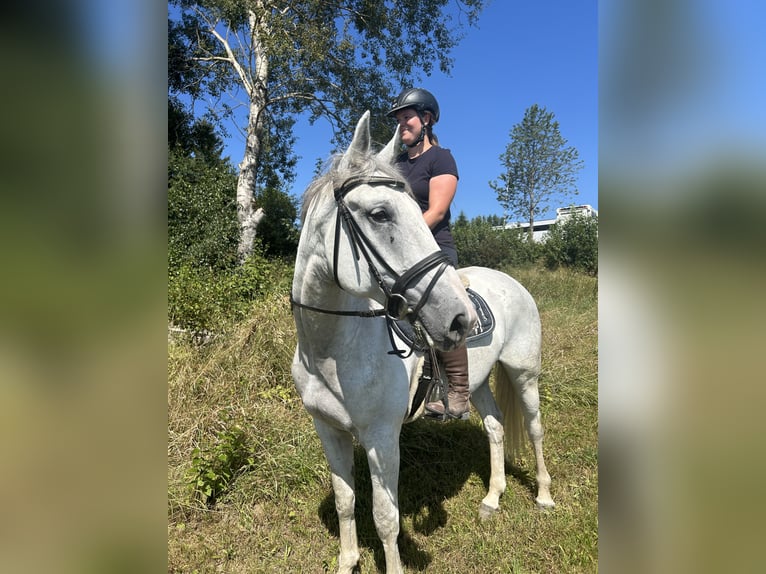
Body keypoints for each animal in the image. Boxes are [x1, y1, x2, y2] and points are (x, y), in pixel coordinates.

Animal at [292, 112, 552, 574]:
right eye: (379, 214)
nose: (461, 318)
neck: (329, 352)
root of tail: (512, 282)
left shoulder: (382, 437)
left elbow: (385, 518)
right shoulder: (329, 430)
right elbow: (345, 502)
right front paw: (347, 561)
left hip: (524, 373)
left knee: (535, 427)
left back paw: (543, 495)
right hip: (478, 382)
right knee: (496, 426)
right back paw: (492, 498)